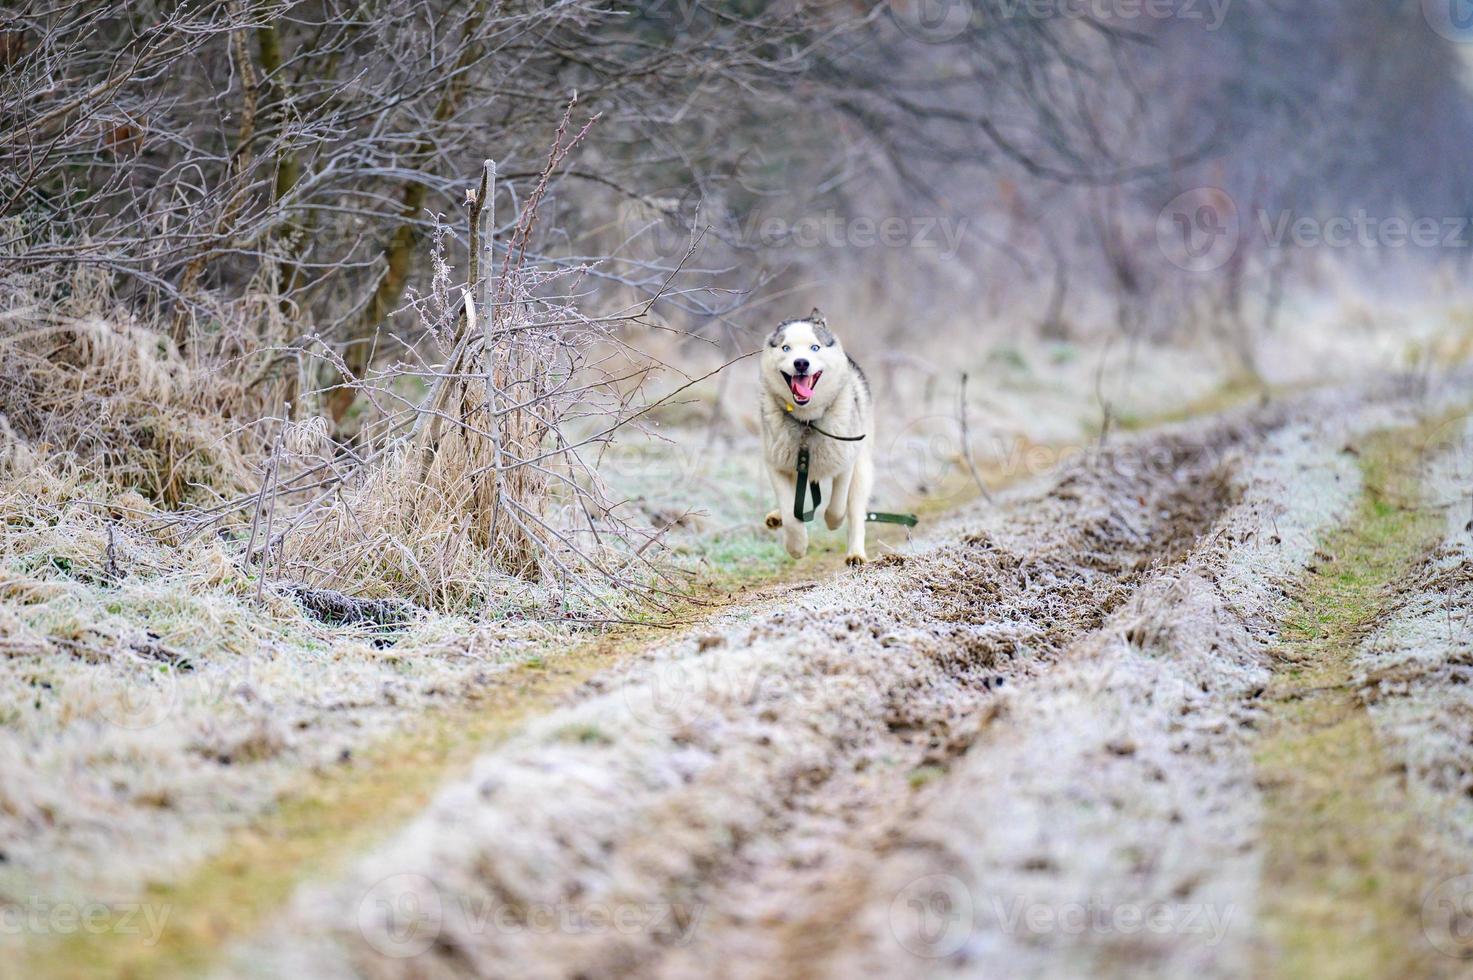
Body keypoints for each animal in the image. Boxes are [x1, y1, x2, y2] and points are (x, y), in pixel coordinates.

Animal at [760, 306, 872, 565]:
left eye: (814, 347)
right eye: (786, 348)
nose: (801, 363)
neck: (807, 422)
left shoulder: (846, 459)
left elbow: (838, 505)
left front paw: (832, 520)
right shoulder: (775, 464)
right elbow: (790, 511)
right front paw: (796, 546)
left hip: (862, 469)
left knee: (856, 512)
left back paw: (855, 554)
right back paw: (776, 517)